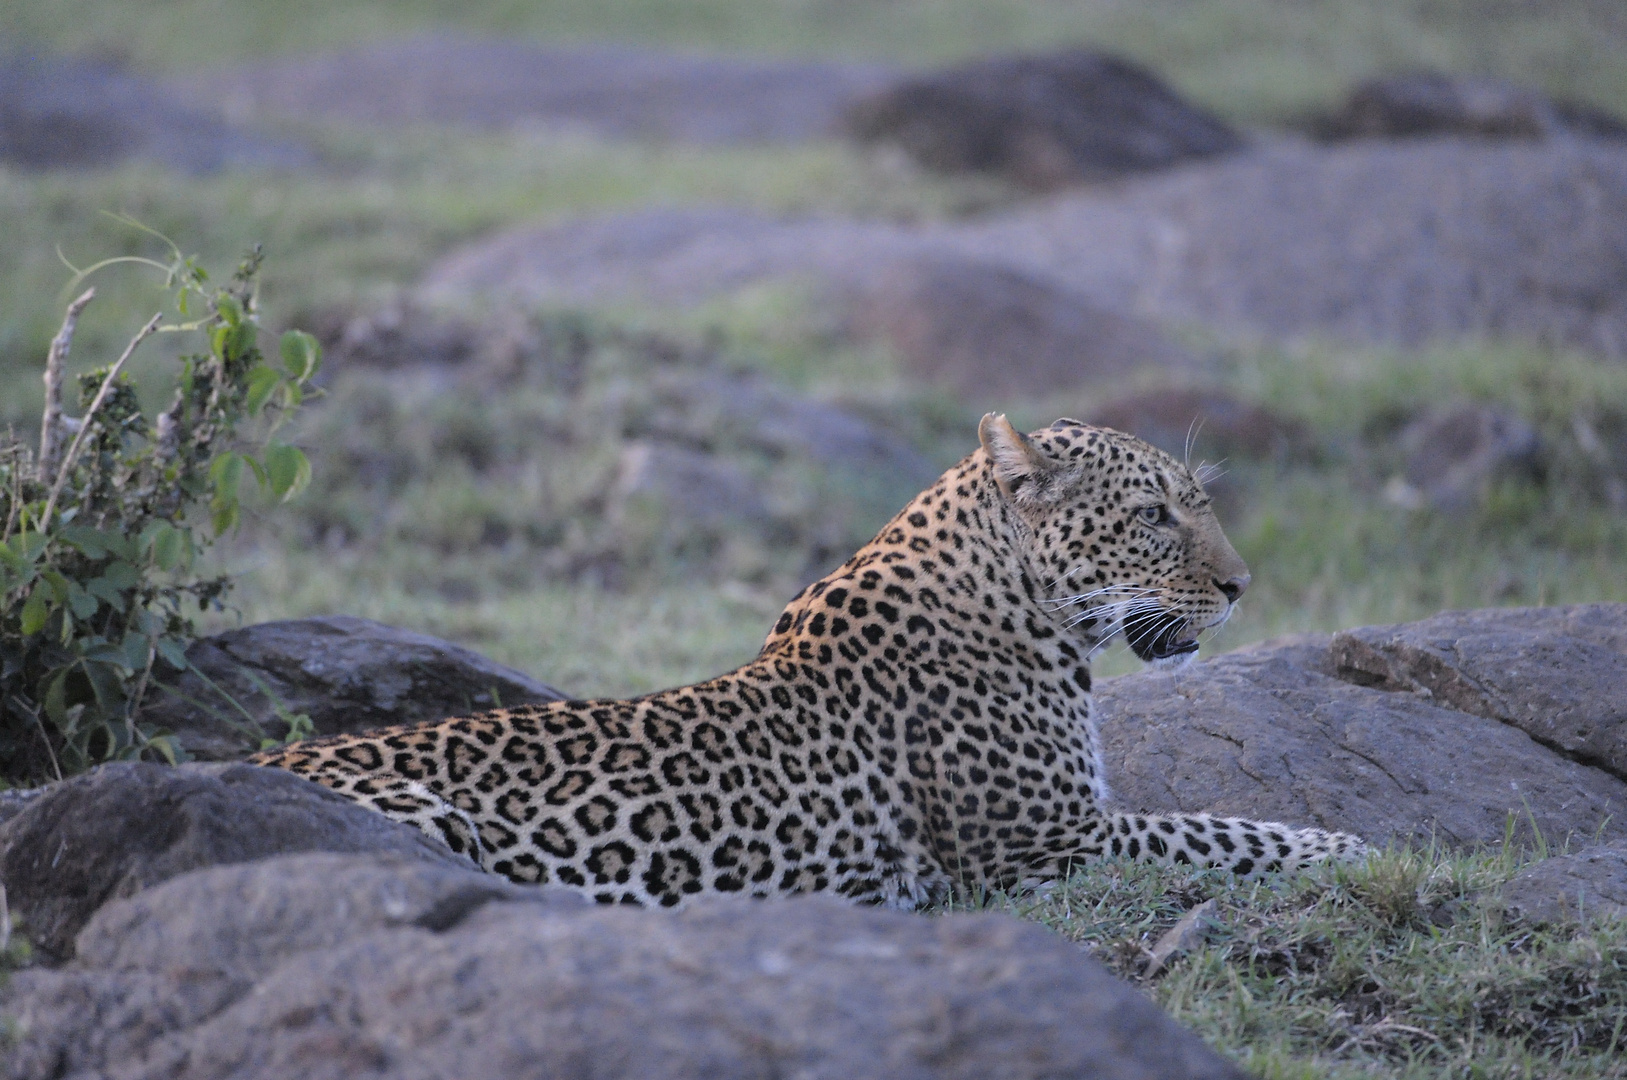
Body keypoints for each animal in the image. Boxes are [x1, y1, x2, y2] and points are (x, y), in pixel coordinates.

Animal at [253, 413, 1366, 904]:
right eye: (1151, 517)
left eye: (1195, 504)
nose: (1242, 586)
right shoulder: (1043, 845)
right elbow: (1212, 832)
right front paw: (1346, 848)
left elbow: (1207, 824)